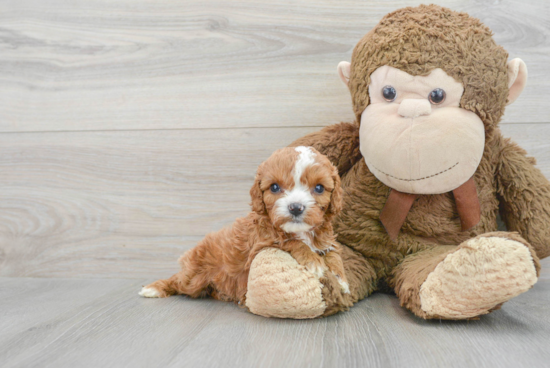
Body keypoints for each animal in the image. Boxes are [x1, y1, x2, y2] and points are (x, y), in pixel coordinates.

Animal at [139, 145, 350, 304]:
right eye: (274, 187)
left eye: (319, 188)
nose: (296, 208)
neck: (302, 232)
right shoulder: (259, 247)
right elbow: (290, 242)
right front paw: (313, 261)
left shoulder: (326, 241)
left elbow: (334, 255)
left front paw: (341, 280)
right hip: (194, 276)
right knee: (178, 280)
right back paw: (154, 288)